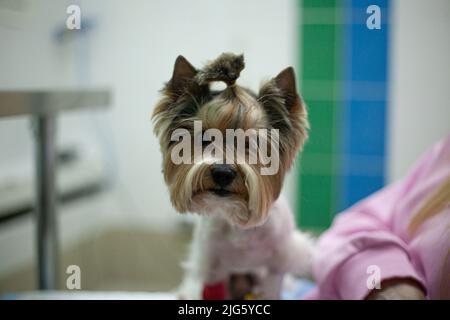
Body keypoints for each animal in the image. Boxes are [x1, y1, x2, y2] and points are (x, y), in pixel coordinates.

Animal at [153, 53, 314, 300]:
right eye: (204, 138)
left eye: (251, 143)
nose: (222, 172)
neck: (237, 219)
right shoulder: (212, 266)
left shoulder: (276, 265)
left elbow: (272, 288)